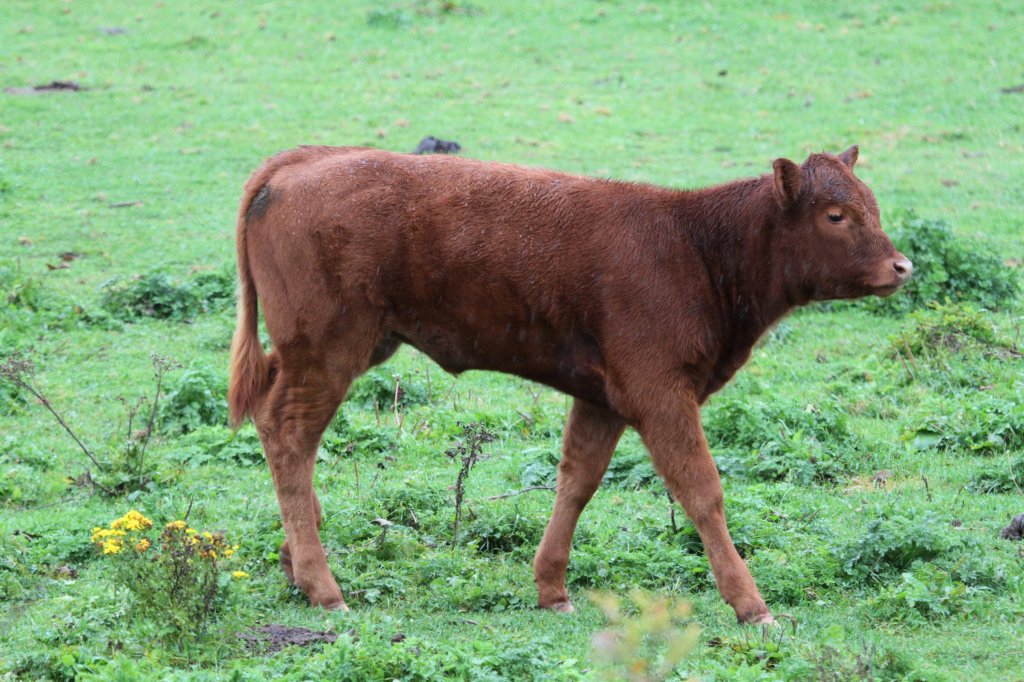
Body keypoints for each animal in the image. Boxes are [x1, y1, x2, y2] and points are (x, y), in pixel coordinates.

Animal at [228, 144, 909, 622]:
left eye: (872, 203)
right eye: (836, 214)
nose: (902, 266)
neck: (693, 244)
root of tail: (302, 159)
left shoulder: (603, 399)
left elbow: (577, 482)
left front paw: (552, 589)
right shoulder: (660, 394)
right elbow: (702, 490)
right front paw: (752, 605)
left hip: (327, 351)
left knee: (280, 428)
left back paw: (293, 562)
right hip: (327, 350)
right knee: (290, 437)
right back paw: (323, 586)